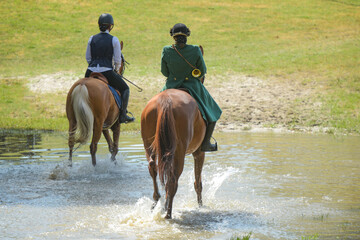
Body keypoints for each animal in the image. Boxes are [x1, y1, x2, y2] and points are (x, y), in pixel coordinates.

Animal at [141, 88, 207, 219]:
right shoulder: (199, 153)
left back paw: (157, 203)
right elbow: (198, 183)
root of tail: (165, 100)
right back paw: (168, 214)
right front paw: (200, 206)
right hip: (179, 153)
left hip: (150, 146)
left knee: (153, 168)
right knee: (173, 181)